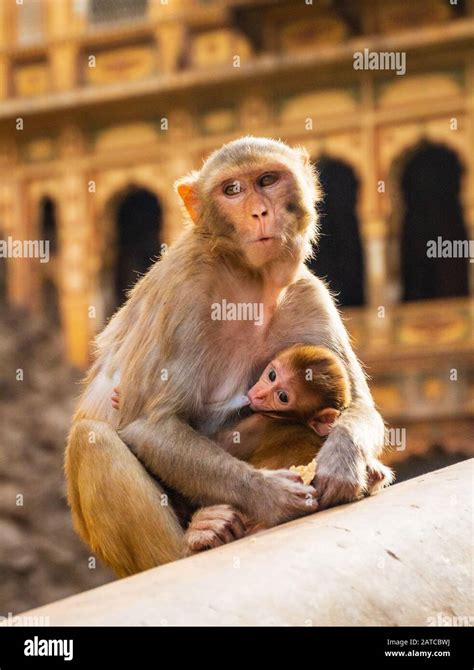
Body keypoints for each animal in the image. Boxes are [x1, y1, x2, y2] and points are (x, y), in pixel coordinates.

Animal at [65, 136, 386, 576]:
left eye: (267, 180)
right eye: (232, 190)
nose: (259, 211)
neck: (249, 282)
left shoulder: (308, 296)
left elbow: (356, 405)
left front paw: (343, 461)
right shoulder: (186, 286)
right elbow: (152, 425)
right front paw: (269, 495)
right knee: (90, 439)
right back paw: (197, 538)